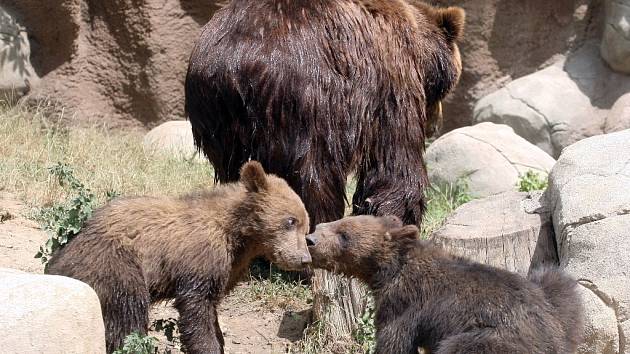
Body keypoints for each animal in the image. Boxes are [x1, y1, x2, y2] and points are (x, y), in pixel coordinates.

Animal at [185, 0, 466, 227]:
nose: (436, 124)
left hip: (217, 116)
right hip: (305, 100)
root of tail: (236, 66)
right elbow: (394, 159)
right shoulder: (391, 81)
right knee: (313, 173)